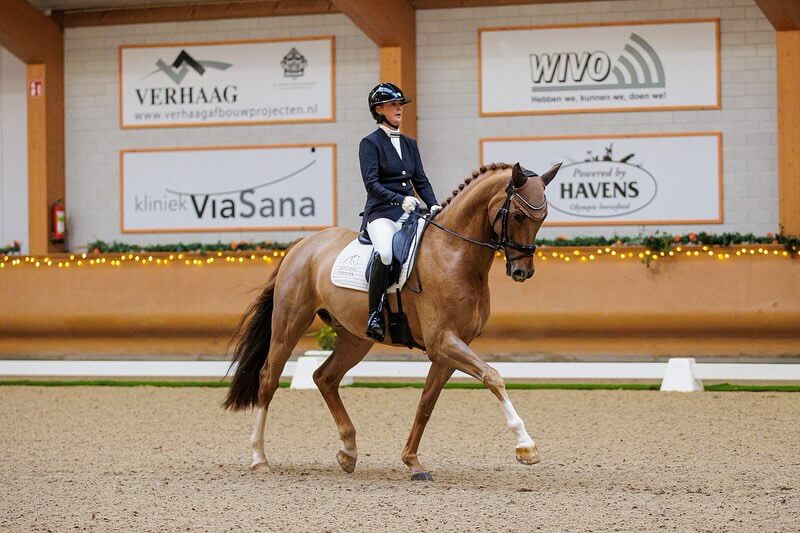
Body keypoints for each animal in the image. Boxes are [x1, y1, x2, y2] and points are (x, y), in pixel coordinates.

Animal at [225, 160, 564, 480]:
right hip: (290, 323)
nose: (522, 272)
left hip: (355, 338)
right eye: (518, 215)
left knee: (325, 377)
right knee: (268, 378)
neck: (453, 254)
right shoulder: (443, 341)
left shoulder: (448, 349)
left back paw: (348, 452)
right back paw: (259, 458)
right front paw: (526, 445)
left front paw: (413, 462)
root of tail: (303, 244)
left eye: (543, 217)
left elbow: (427, 402)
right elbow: (493, 376)